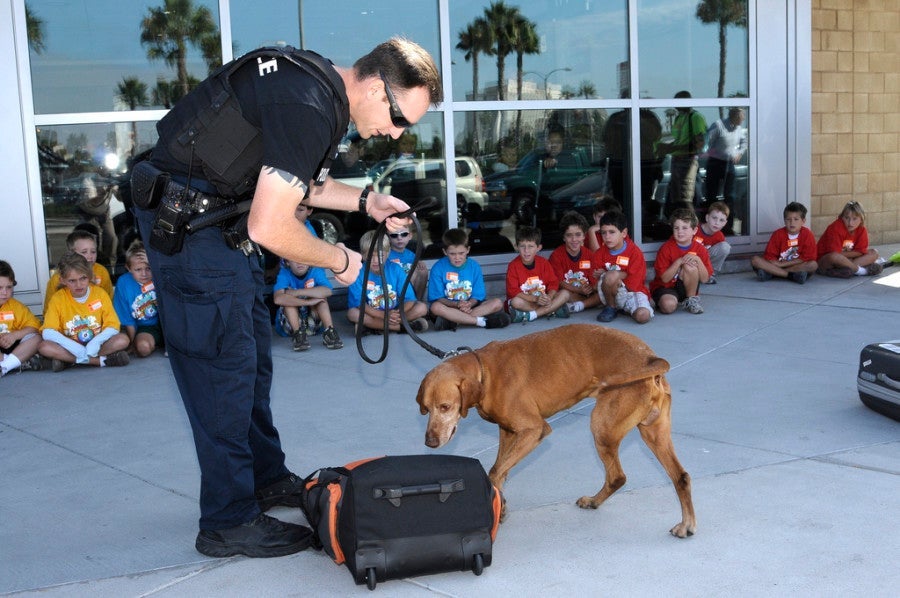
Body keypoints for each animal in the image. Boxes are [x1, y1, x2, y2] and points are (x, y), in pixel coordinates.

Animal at [415, 323, 696, 538]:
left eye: (445, 406)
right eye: (426, 409)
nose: (429, 442)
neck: (485, 371)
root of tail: (649, 357)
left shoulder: (534, 430)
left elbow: (494, 472)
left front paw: (499, 505)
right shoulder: (508, 432)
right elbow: (501, 472)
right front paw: (500, 505)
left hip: (602, 427)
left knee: (618, 476)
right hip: (653, 433)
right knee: (679, 476)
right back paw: (686, 525)